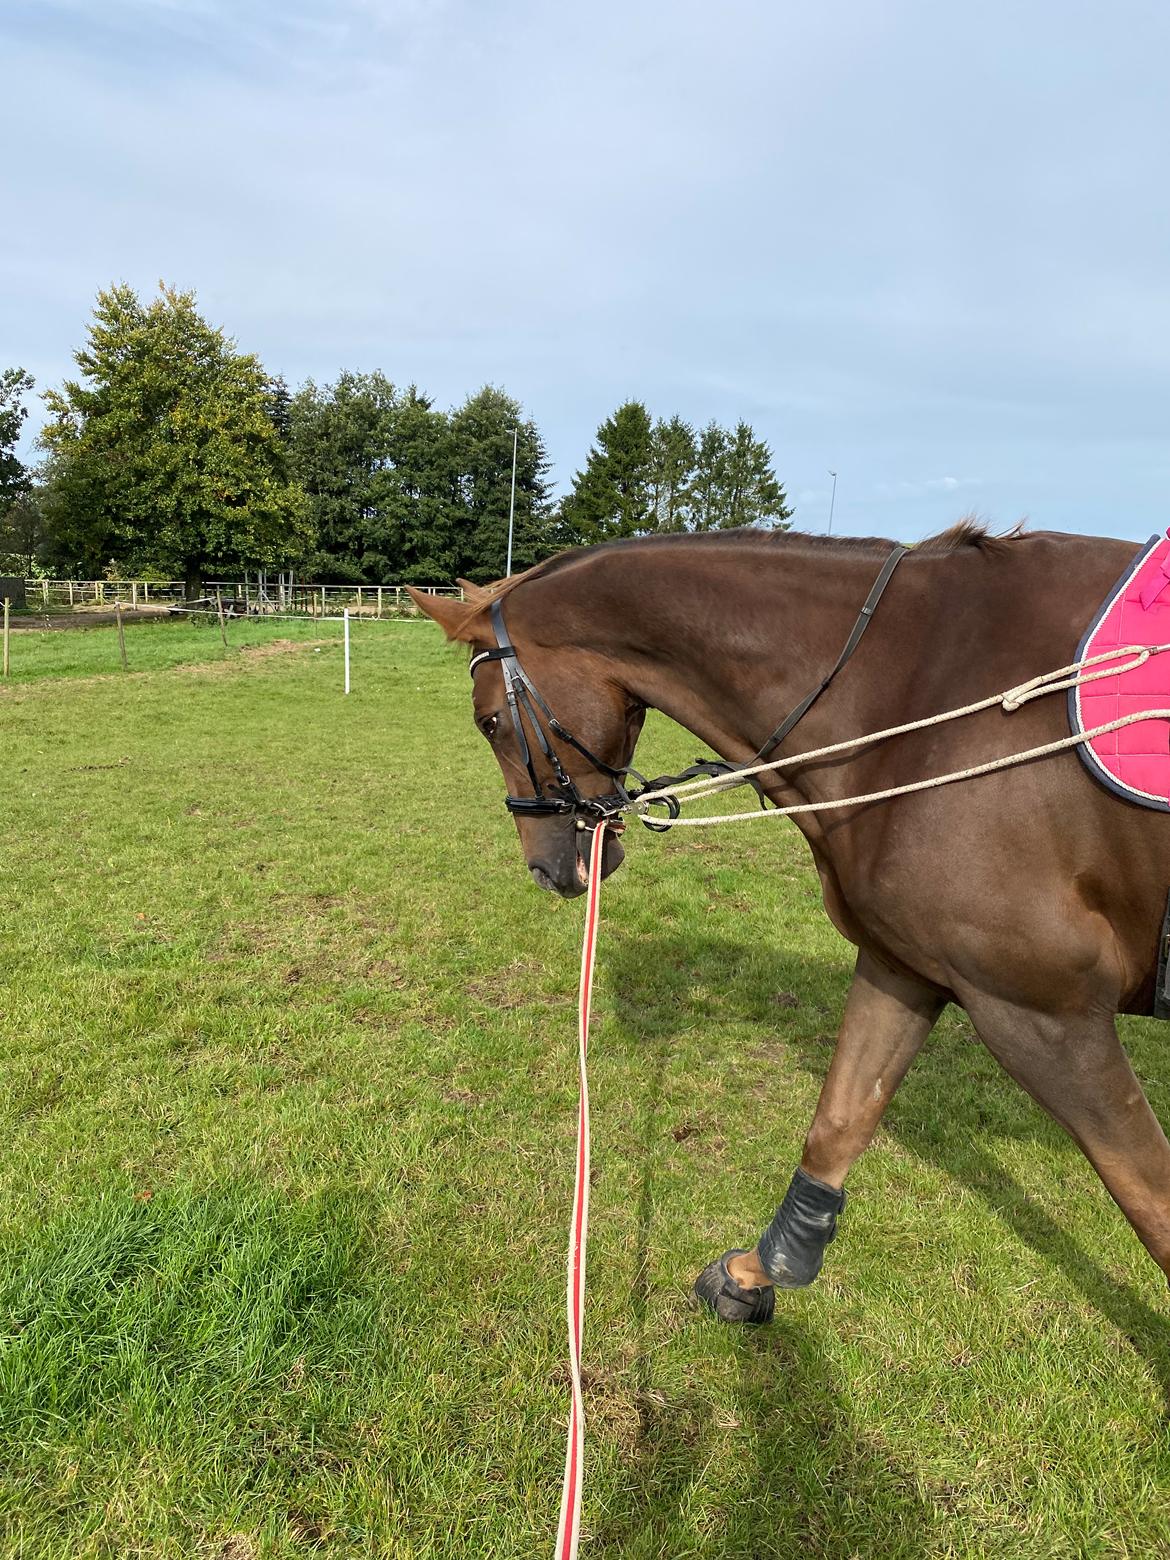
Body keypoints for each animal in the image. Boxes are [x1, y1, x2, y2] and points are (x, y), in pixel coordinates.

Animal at [408, 527, 1170, 1329]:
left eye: (489, 721)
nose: (549, 870)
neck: (916, 692)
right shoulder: (906, 968)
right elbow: (837, 1125)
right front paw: (753, 1274)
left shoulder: (1046, 1013)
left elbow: (1151, 1202)